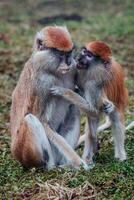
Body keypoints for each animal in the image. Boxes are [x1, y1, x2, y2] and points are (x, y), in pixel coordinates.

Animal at [10, 25, 88, 169]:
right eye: (61, 54)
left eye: (69, 53)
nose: (69, 62)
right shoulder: (43, 83)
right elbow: (43, 121)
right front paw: (79, 163)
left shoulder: (73, 69)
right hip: (26, 152)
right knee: (30, 119)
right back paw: (51, 167)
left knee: (74, 109)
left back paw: (65, 165)